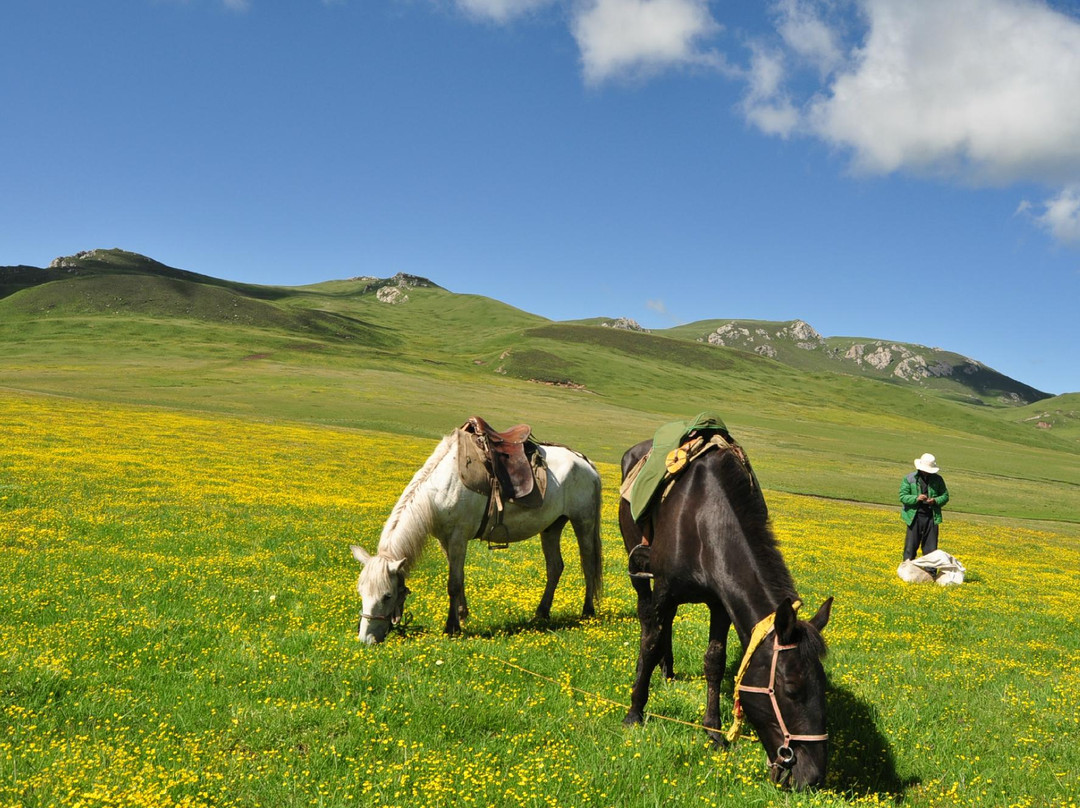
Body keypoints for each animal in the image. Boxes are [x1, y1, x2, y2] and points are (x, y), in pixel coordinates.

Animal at [354, 429, 609, 643]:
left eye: (387, 596)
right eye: (361, 592)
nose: (366, 640)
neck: (440, 489)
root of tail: (584, 461)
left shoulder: (458, 537)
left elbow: (453, 583)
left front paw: (452, 627)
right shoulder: (445, 540)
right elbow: (459, 579)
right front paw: (461, 615)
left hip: (583, 522)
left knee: (588, 564)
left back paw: (587, 612)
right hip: (552, 527)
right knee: (555, 567)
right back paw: (541, 613)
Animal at [617, 436, 833, 790]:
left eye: (823, 685)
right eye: (791, 688)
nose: (812, 776)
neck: (704, 520)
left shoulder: (720, 604)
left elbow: (714, 661)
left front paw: (714, 731)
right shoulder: (663, 589)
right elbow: (649, 641)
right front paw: (634, 713)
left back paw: (668, 671)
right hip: (639, 569)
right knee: (648, 621)